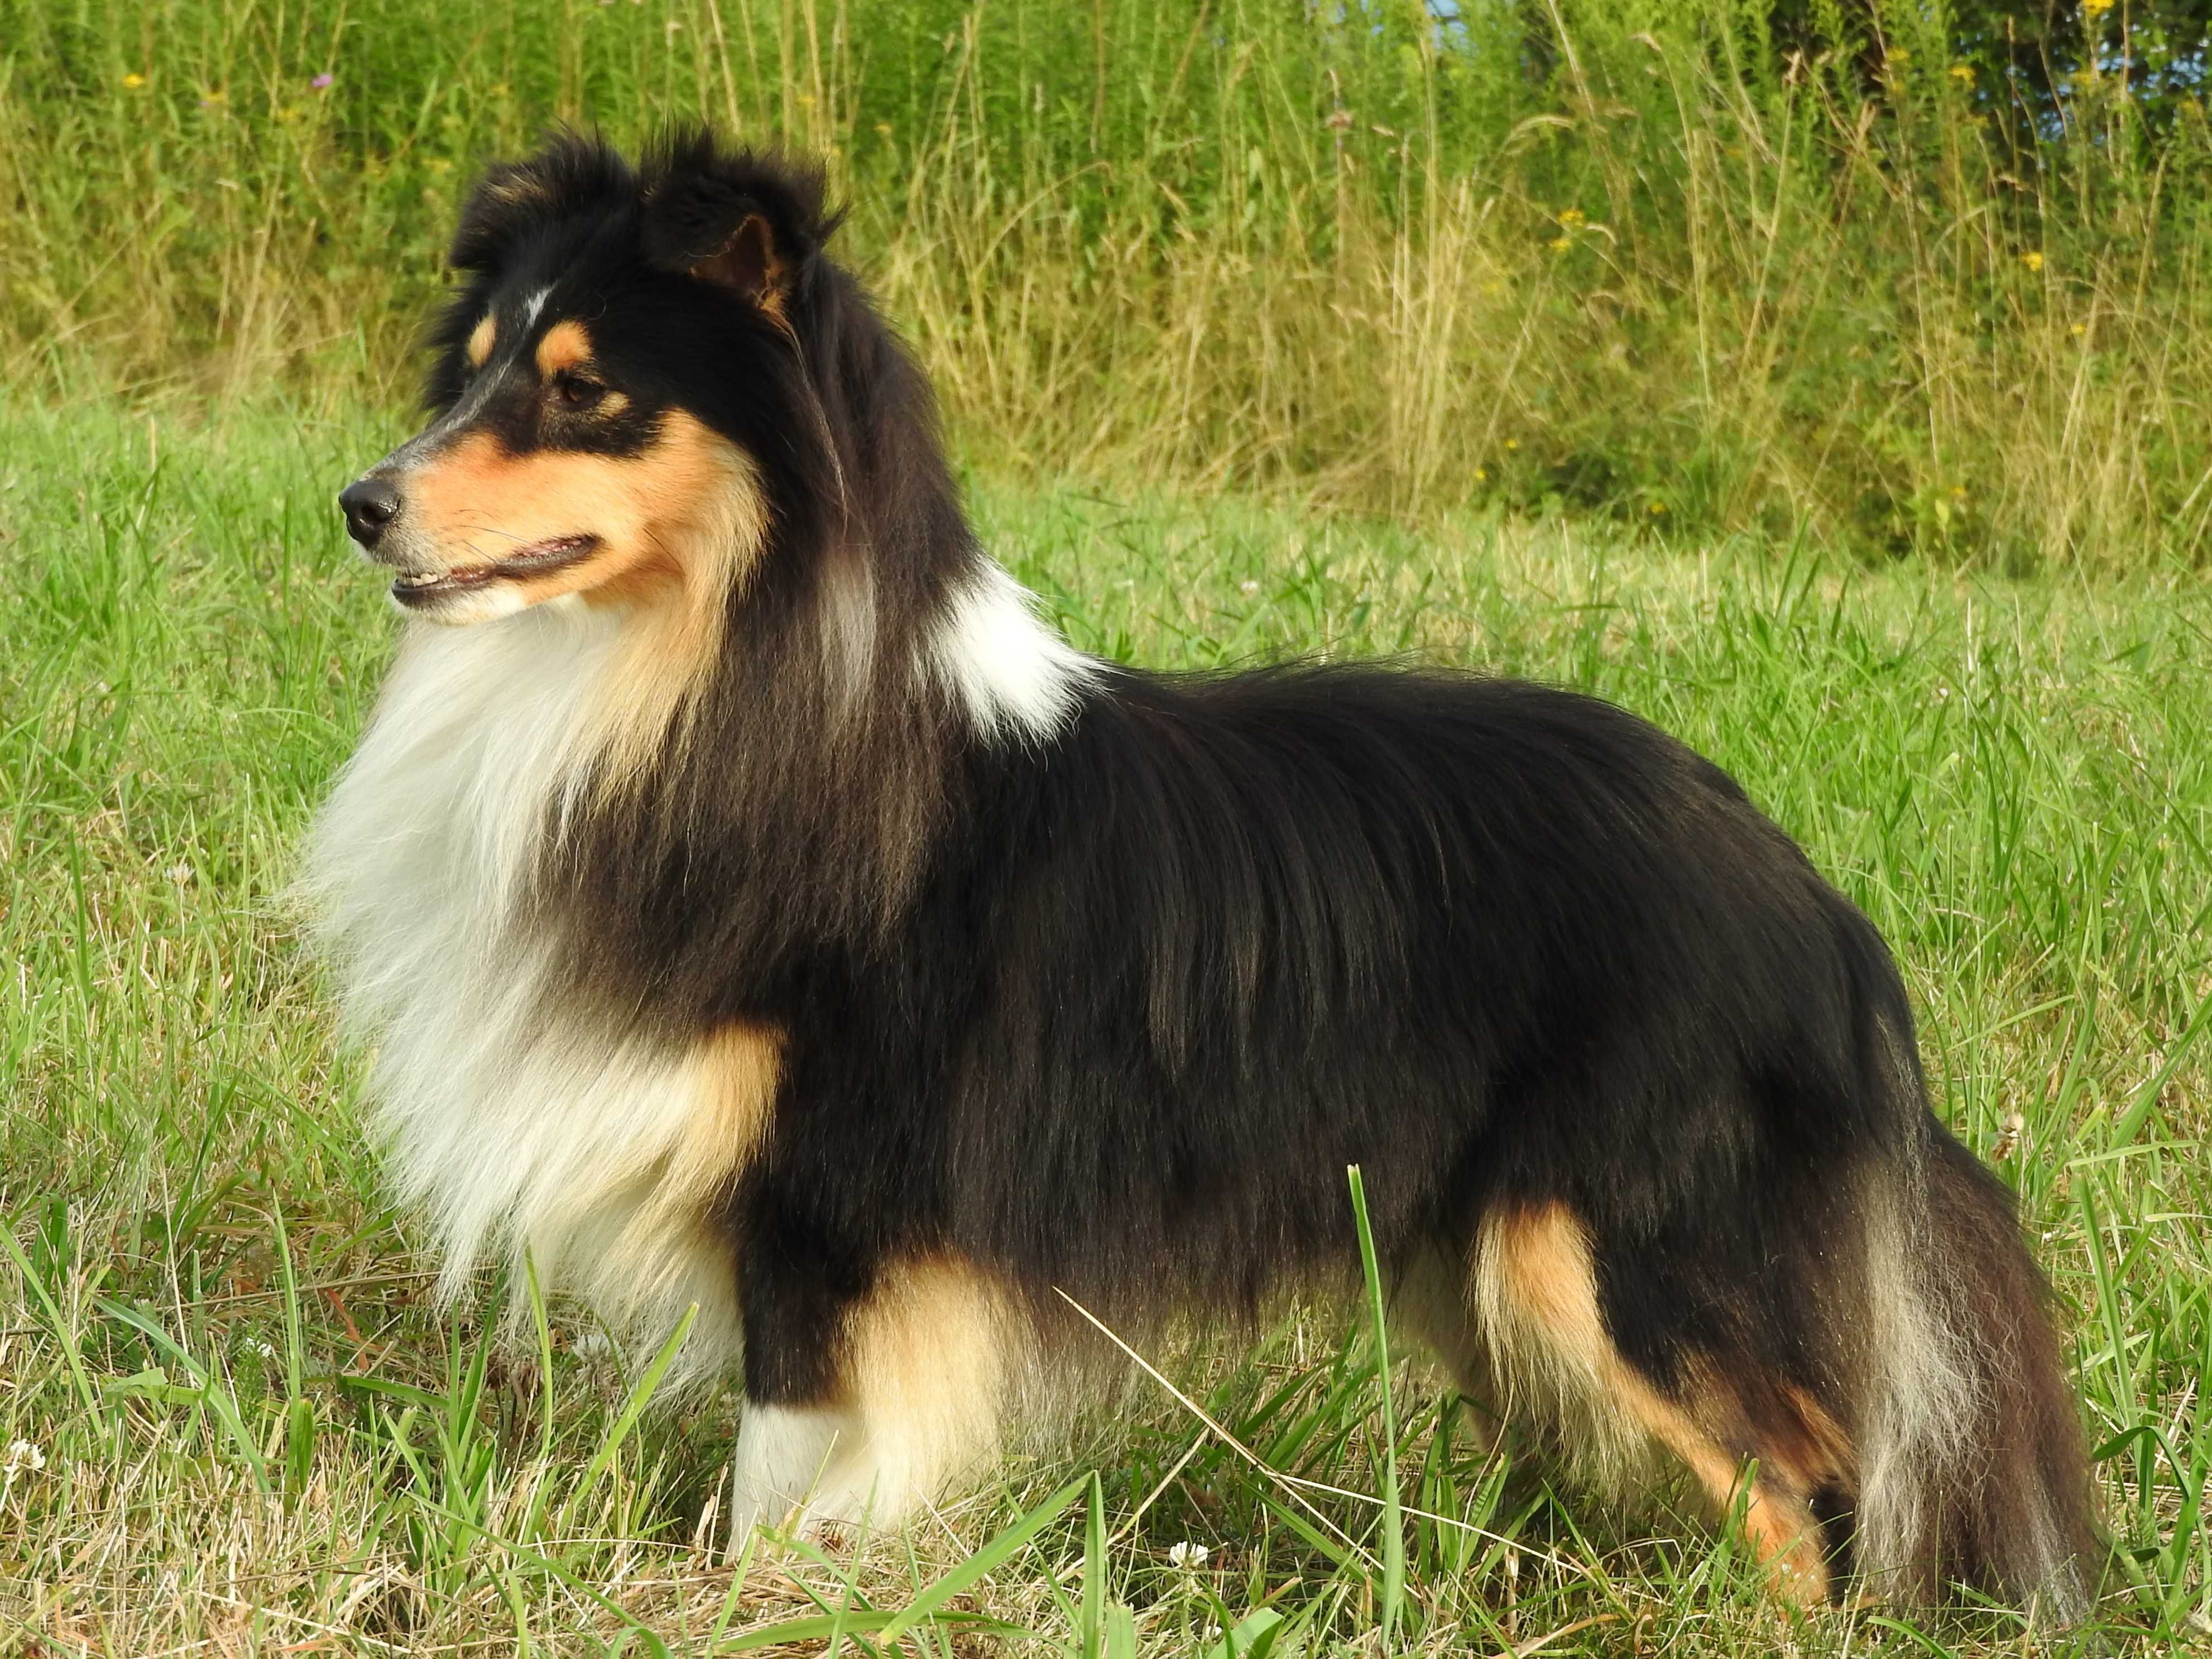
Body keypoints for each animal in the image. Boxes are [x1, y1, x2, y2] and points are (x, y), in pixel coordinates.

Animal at [303, 133, 2096, 1628]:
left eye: (585, 391)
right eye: (474, 368)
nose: (361, 502)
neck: (706, 671)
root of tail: (1823, 915)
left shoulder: (838, 1209)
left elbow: (780, 1473)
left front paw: (758, 1607)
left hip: (1609, 1247)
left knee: (1810, 1485)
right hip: (1490, 1269)